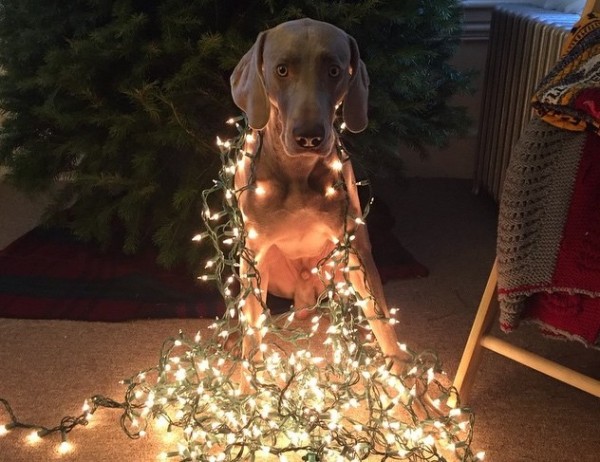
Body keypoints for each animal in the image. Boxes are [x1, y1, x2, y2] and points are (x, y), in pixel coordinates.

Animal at [230, 18, 404, 368]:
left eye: (334, 71)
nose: (308, 137)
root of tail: (303, 296)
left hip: (334, 267)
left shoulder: (356, 246)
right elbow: (252, 337)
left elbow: (381, 318)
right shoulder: (253, 256)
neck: (298, 174)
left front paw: (405, 376)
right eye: (282, 70)